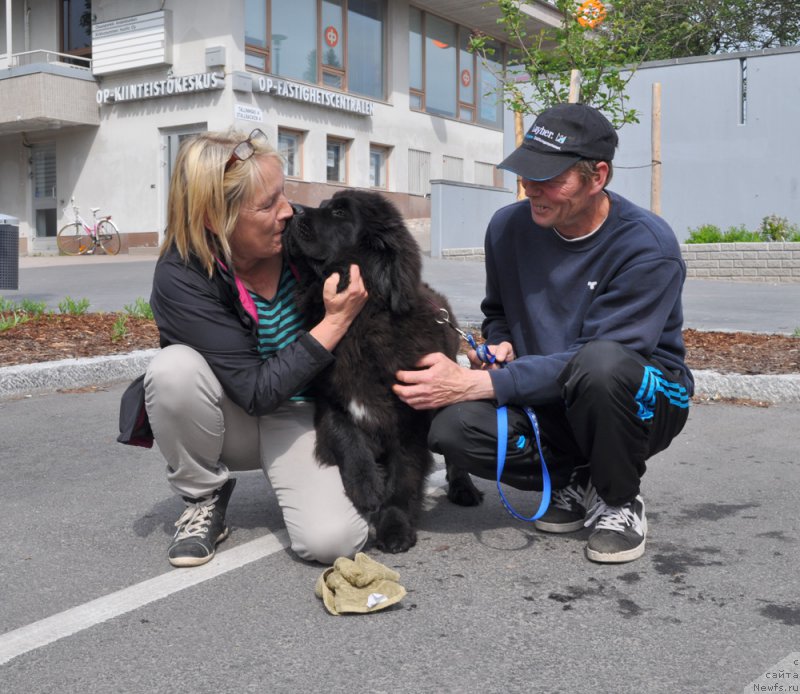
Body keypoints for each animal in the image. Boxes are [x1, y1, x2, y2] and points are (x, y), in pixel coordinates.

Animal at [282, 189, 482, 556]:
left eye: (339, 212)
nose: (292, 210)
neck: (363, 319)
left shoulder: (410, 418)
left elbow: (404, 476)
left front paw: (394, 526)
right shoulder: (332, 399)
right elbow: (347, 438)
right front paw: (366, 486)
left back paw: (464, 488)